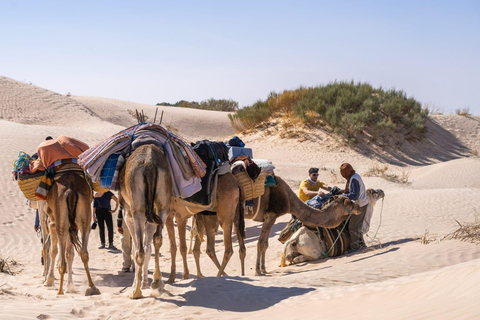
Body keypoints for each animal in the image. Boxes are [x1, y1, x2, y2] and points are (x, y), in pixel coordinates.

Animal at [118, 144, 172, 298]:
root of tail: (150, 164)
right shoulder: (152, 218)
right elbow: (149, 247)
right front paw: (146, 283)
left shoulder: (127, 214)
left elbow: (136, 248)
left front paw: (137, 284)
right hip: (163, 203)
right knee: (158, 239)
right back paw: (157, 282)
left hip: (138, 209)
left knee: (139, 251)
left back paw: (135, 292)